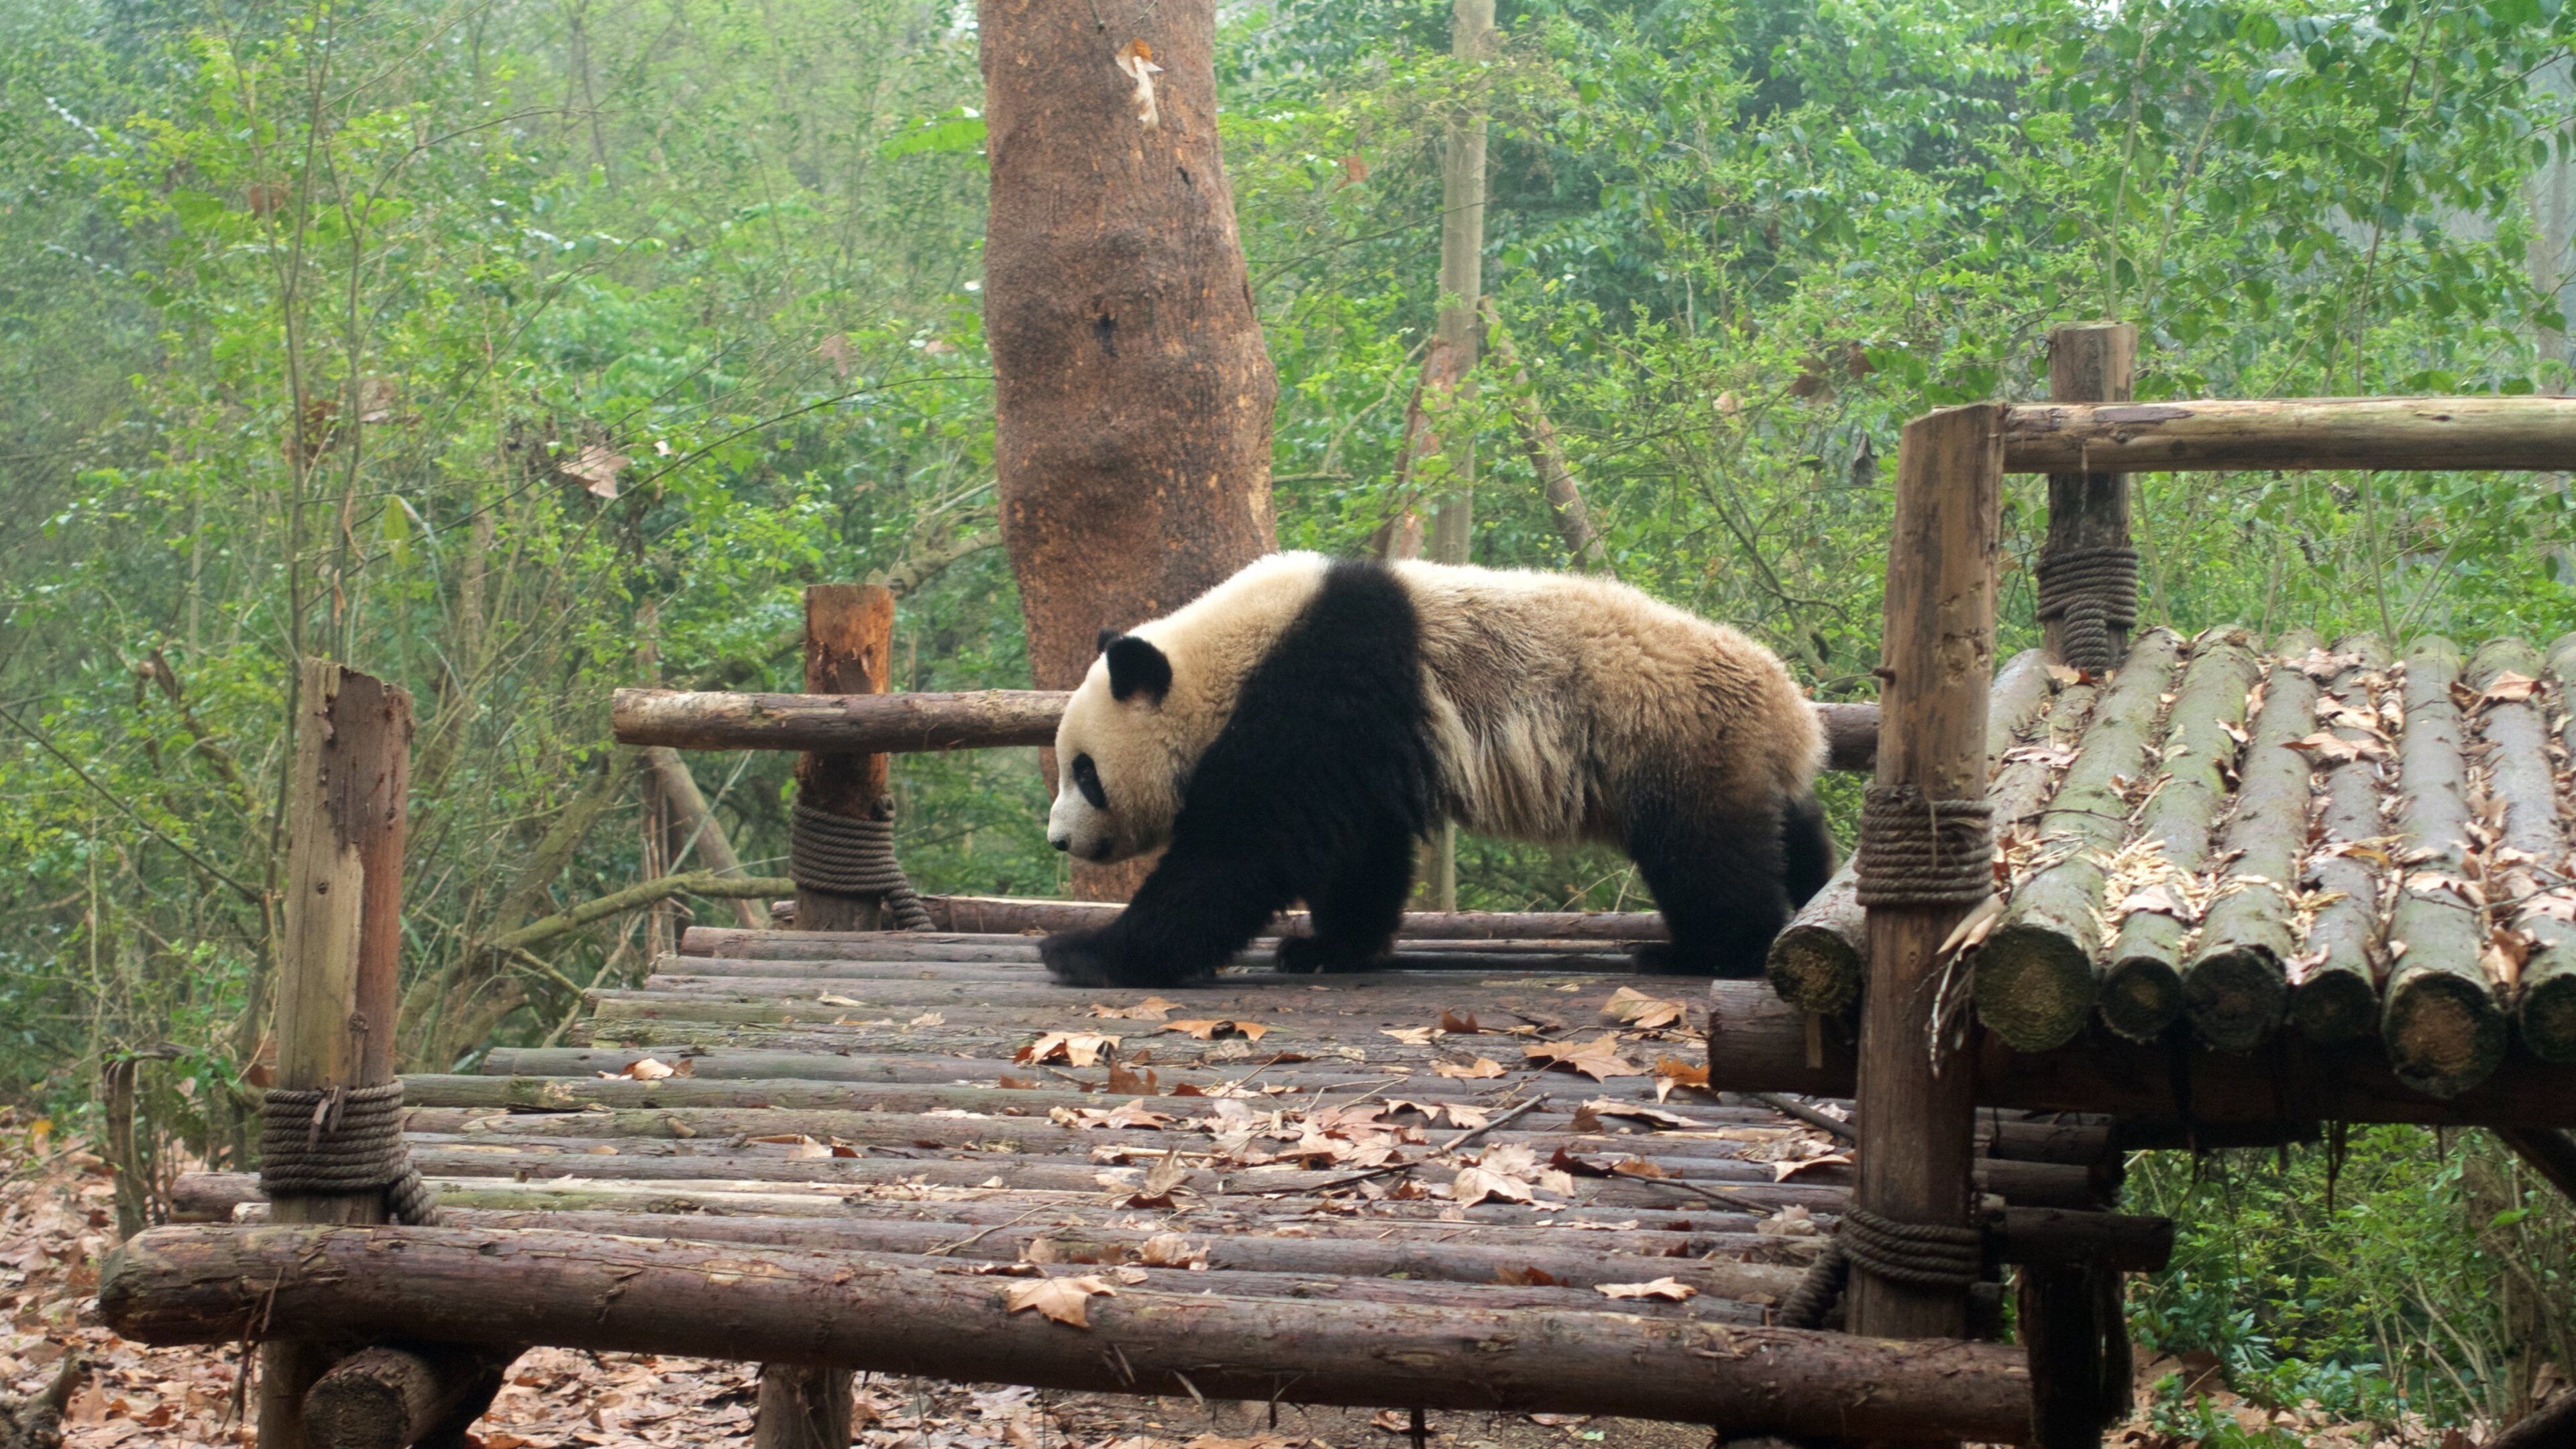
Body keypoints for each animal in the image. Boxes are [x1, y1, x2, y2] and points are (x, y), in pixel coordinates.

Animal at [1039, 552, 1832, 987]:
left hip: (1674, 738)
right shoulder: (1355, 741)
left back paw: (1698, 953)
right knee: (1789, 836)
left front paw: (1084, 952)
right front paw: (1329, 948)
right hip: (1742, 760)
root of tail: (1793, 715)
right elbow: (1360, 852)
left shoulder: (1317, 688)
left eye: (1085, 773)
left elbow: (1242, 852)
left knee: (1706, 858)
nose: (1059, 839)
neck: (1227, 656)